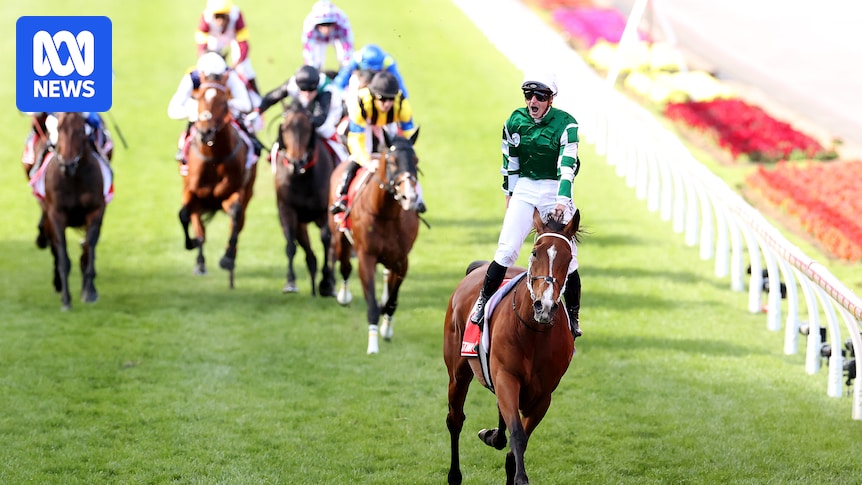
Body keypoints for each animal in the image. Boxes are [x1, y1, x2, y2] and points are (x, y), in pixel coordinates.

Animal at [38, 112, 111, 311]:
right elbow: (62, 255)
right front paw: (66, 299)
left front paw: (89, 292)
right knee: (54, 247)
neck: (74, 178)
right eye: (59, 128)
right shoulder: (55, 214)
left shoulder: (96, 211)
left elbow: (89, 247)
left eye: (80, 131)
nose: (67, 165)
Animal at [179, 75, 256, 289]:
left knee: (238, 222)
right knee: (198, 225)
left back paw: (230, 260)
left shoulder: (236, 191)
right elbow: (184, 215)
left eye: (223, 102)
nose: (205, 132)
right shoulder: (190, 191)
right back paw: (200, 262)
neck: (214, 157)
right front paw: (192, 244)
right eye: (198, 98)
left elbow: (235, 215)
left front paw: (227, 258)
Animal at [273, 100, 336, 296]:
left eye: (308, 128)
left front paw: (327, 282)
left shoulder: (324, 211)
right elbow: (290, 244)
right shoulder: (287, 209)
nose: (296, 162)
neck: (302, 177)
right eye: (285, 128)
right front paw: (290, 282)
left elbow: (326, 240)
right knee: (308, 252)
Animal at [327, 129, 422, 354]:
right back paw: (344, 296)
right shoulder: (366, 258)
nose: (410, 197)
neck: (386, 214)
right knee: (344, 267)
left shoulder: (401, 259)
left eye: (416, 160)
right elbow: (371, 303)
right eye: (393, 161)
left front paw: (386, 327)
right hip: (340, 237)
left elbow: (392, 299)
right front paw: (372, 345)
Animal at [443, 208, 581, 485]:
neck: (534, 333)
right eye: (535, 252)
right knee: (455, 419)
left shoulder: (542, 395)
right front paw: (520, 476)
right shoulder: (507, 377)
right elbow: (517, 434)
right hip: (458, 371)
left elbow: (519, 440)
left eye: (568, 257)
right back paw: (454, 475)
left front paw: (499, 444)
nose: (544, 306)